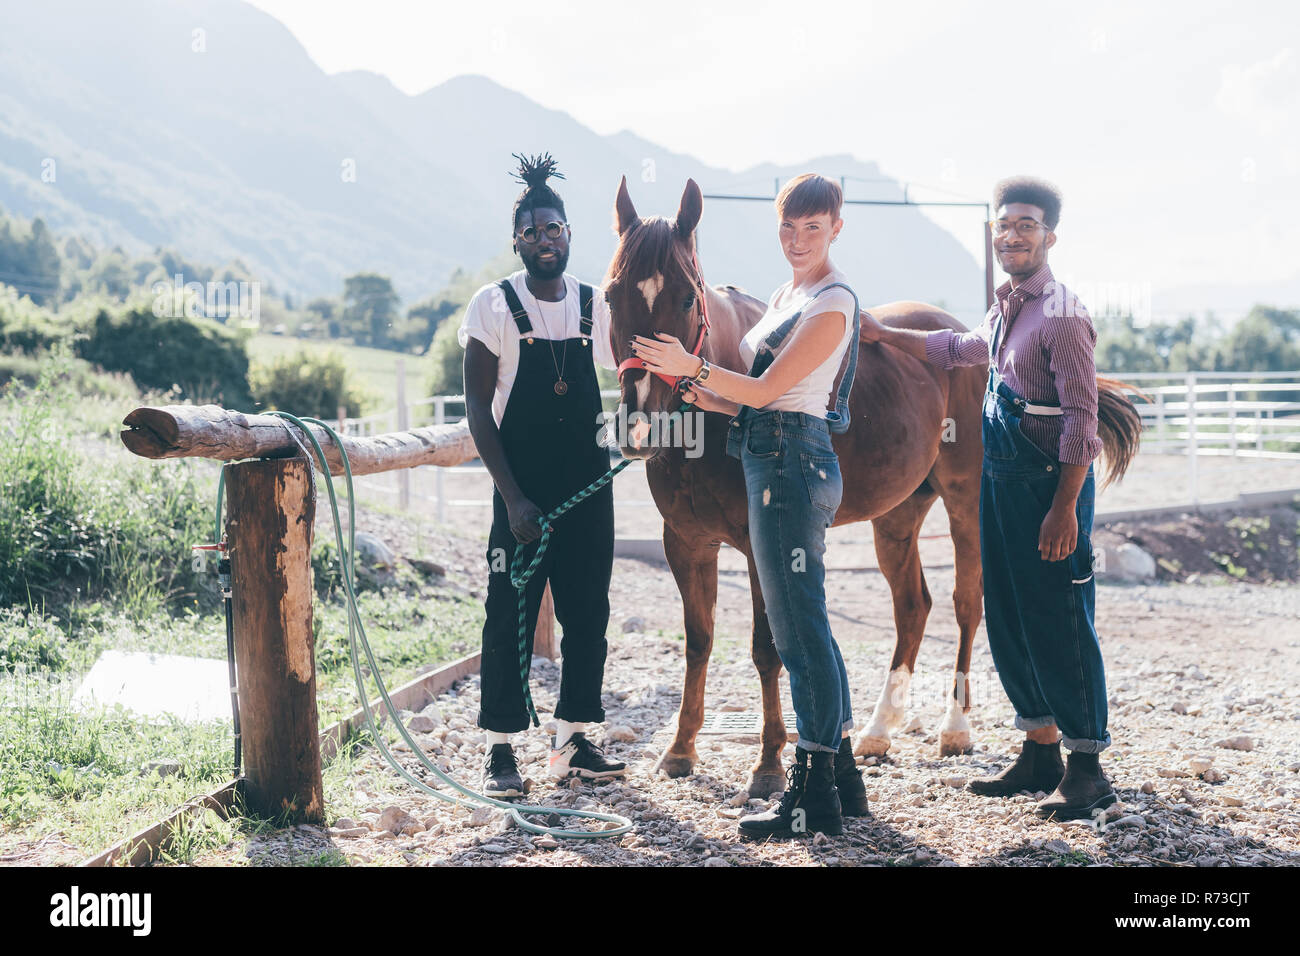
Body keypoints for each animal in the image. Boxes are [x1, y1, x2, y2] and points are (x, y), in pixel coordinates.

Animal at [603, 175, 1133, 796]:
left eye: (687, 298)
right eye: (611, 297)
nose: (640, 425)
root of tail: (968, 339)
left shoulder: (763, 548)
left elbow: (766, 648)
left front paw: (769, 764)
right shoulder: (685, 545)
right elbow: (699, 641)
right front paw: (680, 749)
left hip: (965, 505)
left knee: (966, 602)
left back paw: (955, 727)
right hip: (897, 516)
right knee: (913, 607)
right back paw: (878, 730)